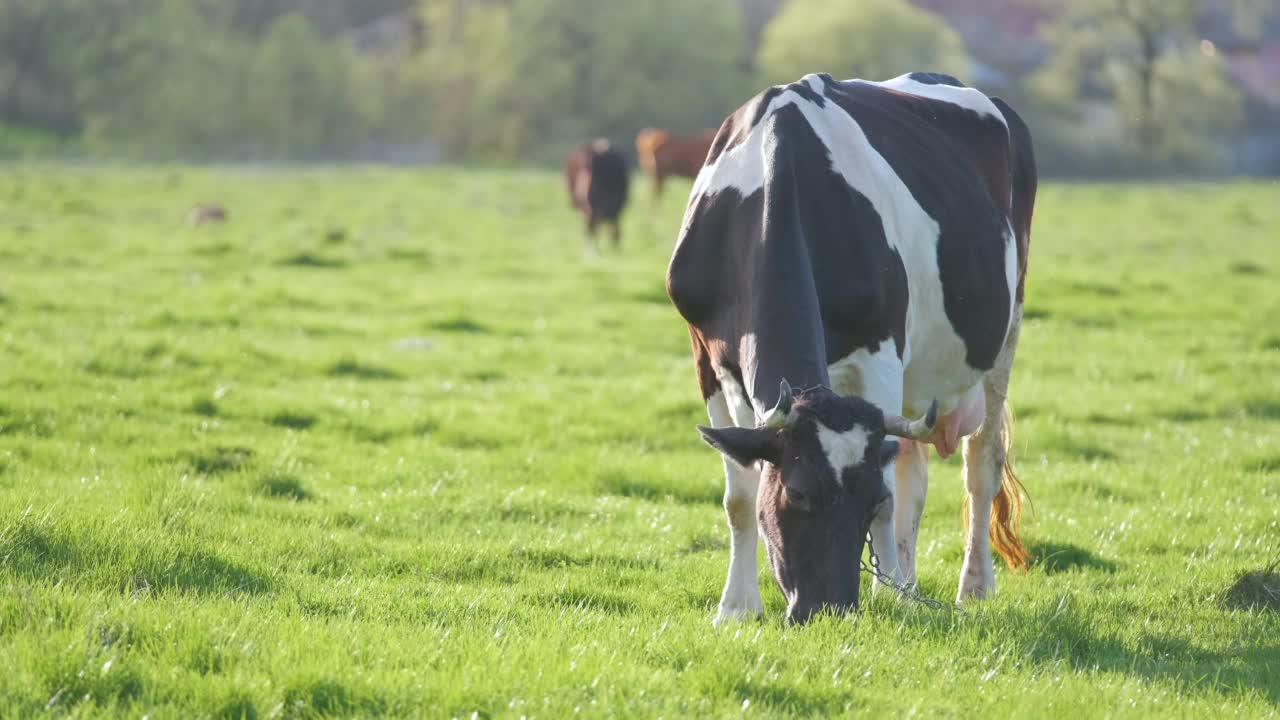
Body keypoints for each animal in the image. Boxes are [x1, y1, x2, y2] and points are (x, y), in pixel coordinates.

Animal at [670, 74, 1039, 622]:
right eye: (797, 494)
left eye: (867, 500)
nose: (830, 608)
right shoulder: (708, 358)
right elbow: (739, 494)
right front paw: (737, 608)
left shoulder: (880, 352)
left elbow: (891, 490)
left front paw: (891, 594)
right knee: (912, 471)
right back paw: (909, 581)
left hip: (1004, 334)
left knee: (981, 466)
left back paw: (967, 586)